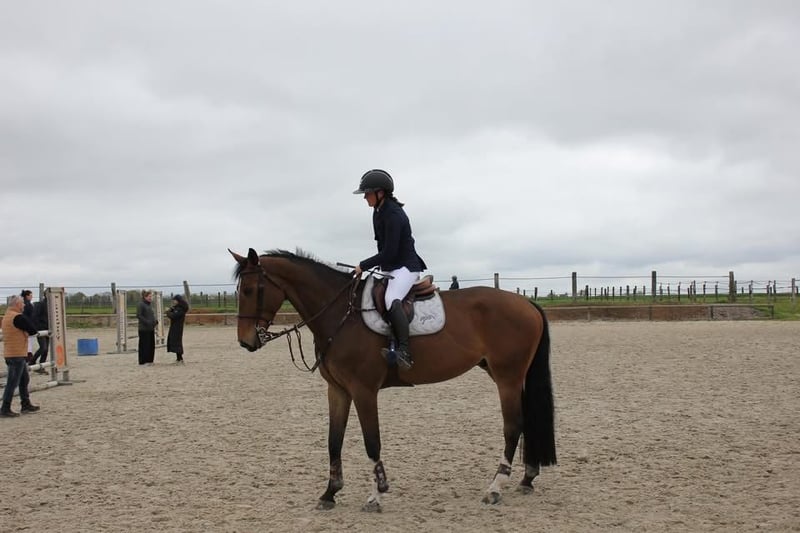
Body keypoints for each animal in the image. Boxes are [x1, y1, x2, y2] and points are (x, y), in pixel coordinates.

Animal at [231, 248, 556, 511]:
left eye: (250, 290)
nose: (245, 342)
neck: (341, 314)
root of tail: (526, 303)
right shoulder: (337, 390)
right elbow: (333, 441)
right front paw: (329, 493)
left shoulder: (363, 390)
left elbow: (371, 442)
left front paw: (376, 495)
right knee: (526, 422)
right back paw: (527, 478)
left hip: (507, 378)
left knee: (513, 427)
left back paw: (495, 488)